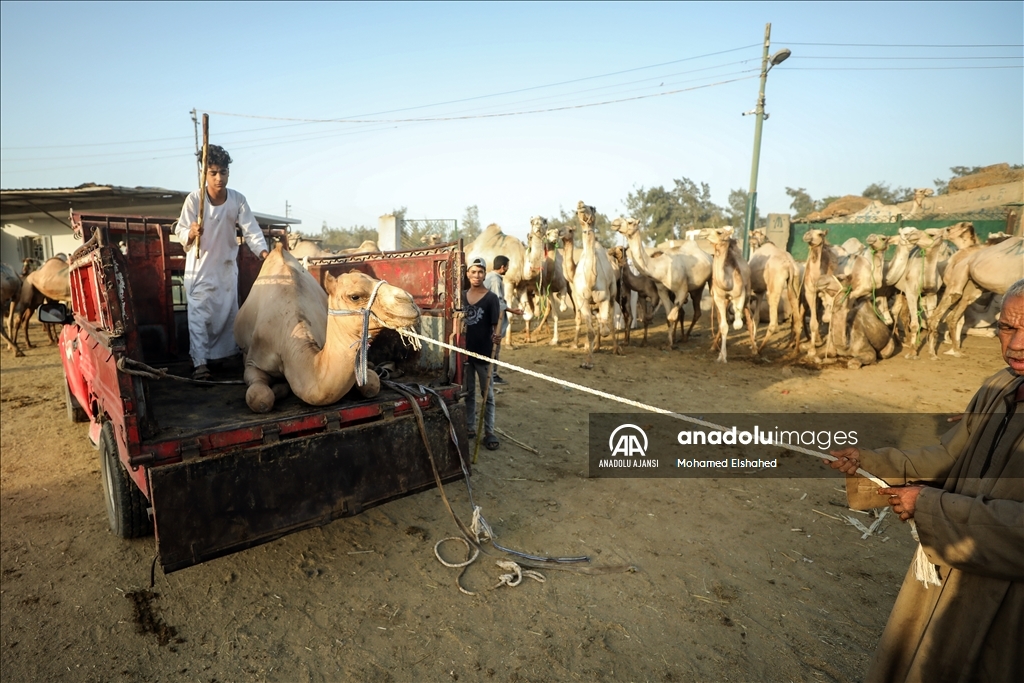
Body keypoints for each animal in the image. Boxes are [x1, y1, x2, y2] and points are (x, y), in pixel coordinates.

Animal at [573, 200, 618, 366]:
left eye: (592, 208)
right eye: (576, 211)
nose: (580, 204)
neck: (590, 281)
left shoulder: (604, 298)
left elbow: (605, 327)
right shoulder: (583, 302)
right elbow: (590, 332)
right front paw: (588, 360)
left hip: (613, 293)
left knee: (610, 321)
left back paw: (616, 349)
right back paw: (595, 347)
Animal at [614, 216, 696, 350]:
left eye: (621, 250)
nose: (611, 251)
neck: (641, 281)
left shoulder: (655, 297)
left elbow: (648, 317)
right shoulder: (642, 296)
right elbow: (645, 319)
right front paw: (643, 342)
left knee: (678, 313)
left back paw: (679, 338)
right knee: (680, 313)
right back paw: (676, 338)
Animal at [708, 227, 757, 362]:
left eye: (719, 232)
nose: (705, 233)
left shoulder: (740, 296)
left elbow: (738, 324)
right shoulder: (719, 298)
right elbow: (723, 326)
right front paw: (721, 356)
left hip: (747, 294)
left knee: (749, 319)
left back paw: (755, 349)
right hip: (727, 300)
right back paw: (713, 347)